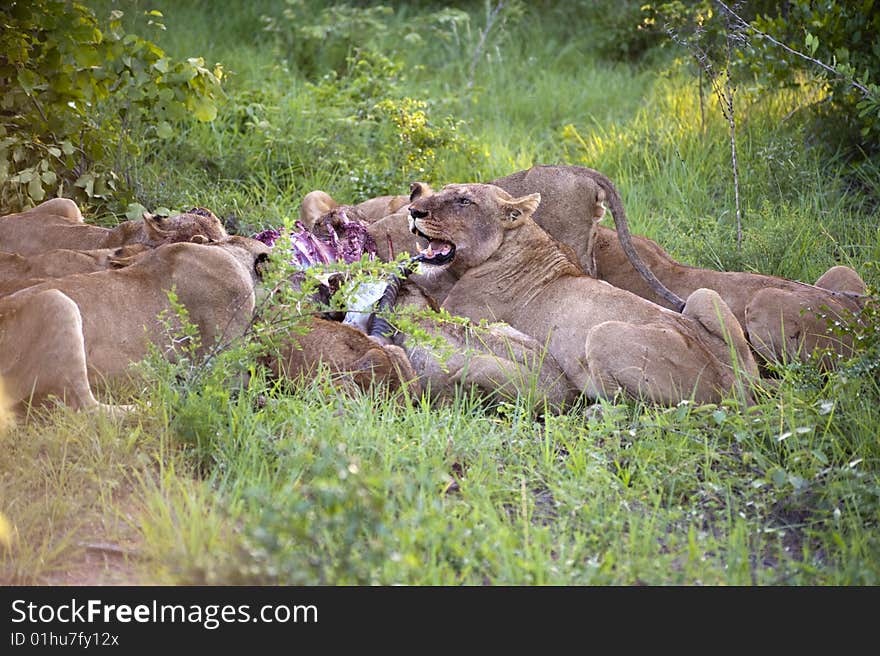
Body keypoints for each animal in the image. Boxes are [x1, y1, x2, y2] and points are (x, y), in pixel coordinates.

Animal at [406, 181, 756, 404]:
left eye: (464, 201)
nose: (413, 210)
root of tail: (733, 381)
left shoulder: (457, 314)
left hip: (604, 332)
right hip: (703, 296)